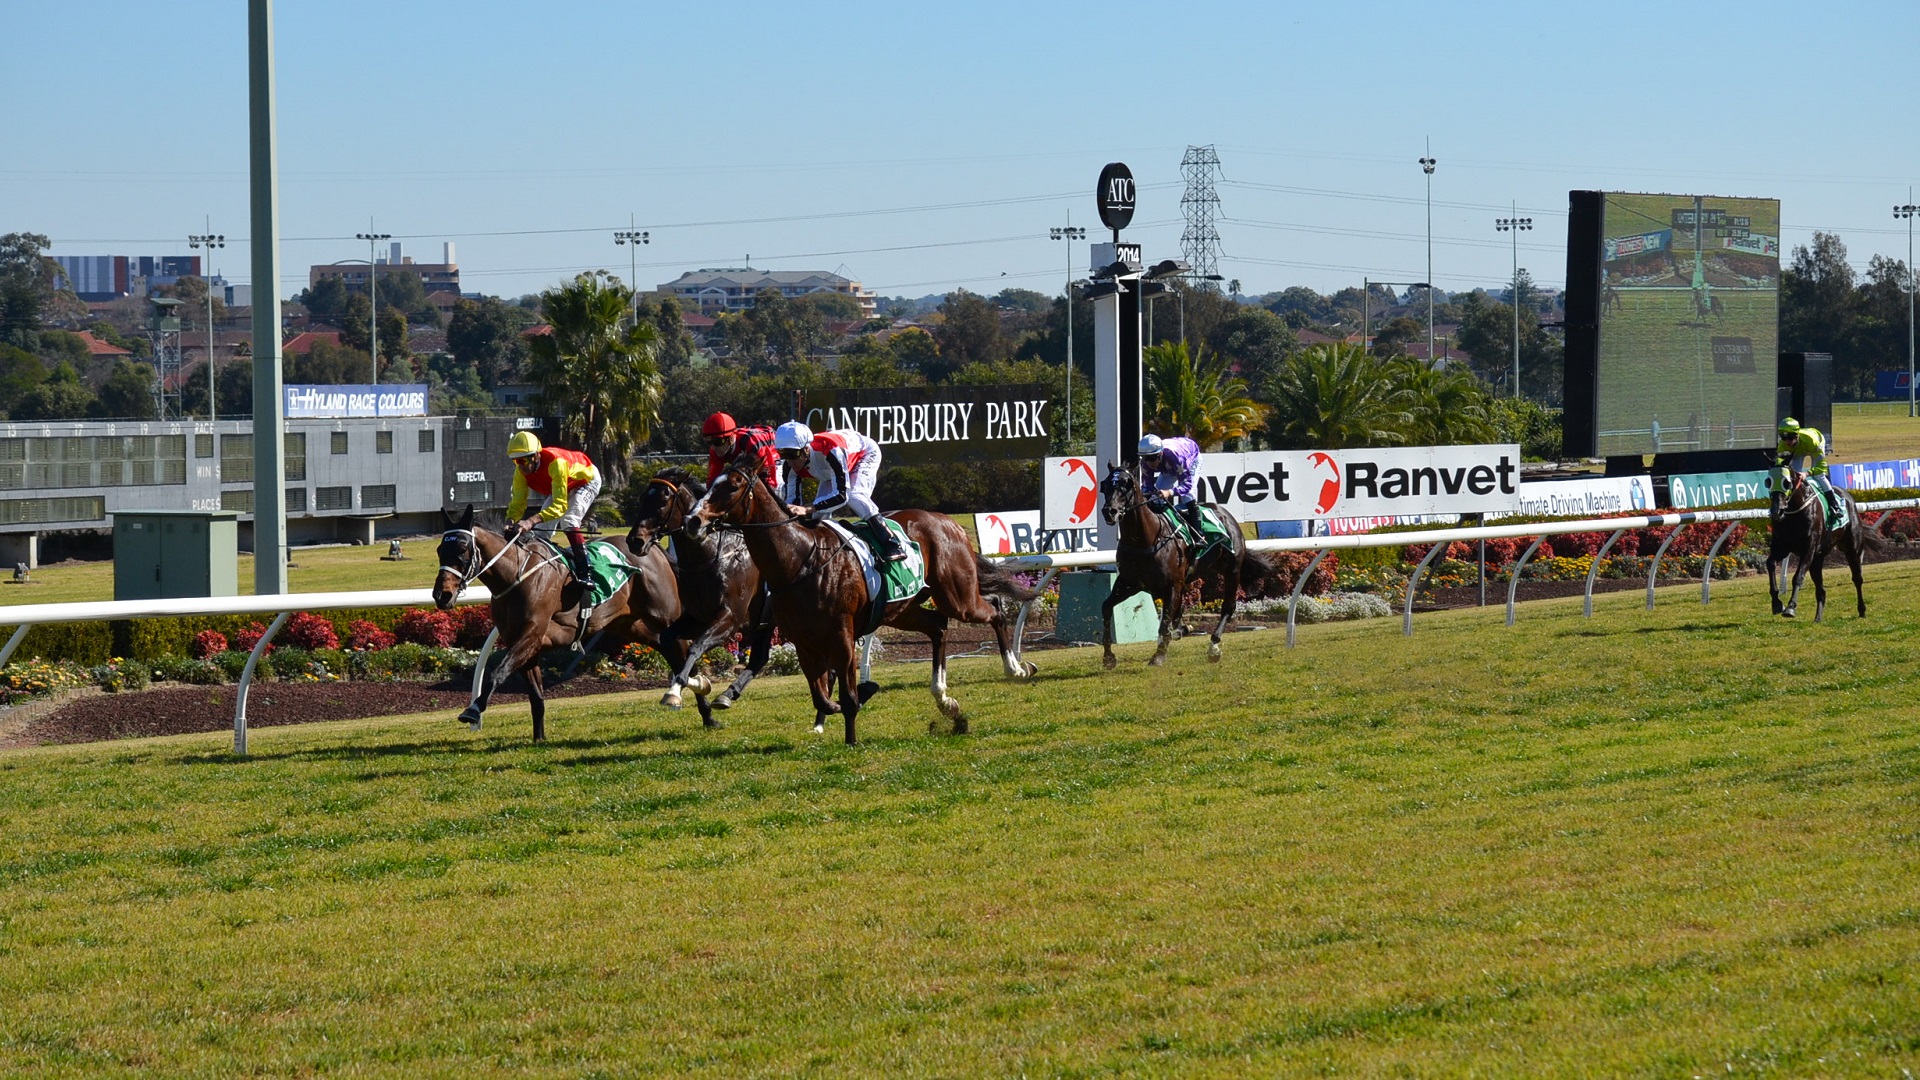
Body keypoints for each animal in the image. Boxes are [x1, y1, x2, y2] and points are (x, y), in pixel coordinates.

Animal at [435, 503, 683, 737]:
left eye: (462, 548)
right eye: (439, 549)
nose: (441, 595)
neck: (516, 573)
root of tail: (653, 548)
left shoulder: (530, 635)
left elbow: (498, 672)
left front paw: (473, 710)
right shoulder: (526, 644)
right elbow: (536, 697)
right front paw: (539, 739)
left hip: (664, 614)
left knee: (683, 644)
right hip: (630, 624)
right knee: (666, 646)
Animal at [629, 466, 779, 726]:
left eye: (662, 500)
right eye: (641, 498)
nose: (634, 541)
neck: (710, 557)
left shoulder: (730, 620)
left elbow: (696, 647)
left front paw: (675, 691)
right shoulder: (696, 618)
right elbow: (673, 645)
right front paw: (700, 696)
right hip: (765, 624)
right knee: (759, 658)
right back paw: (728, 694)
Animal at [679, 457, 1036, 745]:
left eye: (733, 485)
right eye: (710, 484)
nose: (692, 521)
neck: (799, 561)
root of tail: (949, 522)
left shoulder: (842, 634)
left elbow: (845, 695)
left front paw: (851, 736)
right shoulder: (803, 641)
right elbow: (824, 698)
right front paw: (844, 707)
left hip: (956, 596)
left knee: (994, 608)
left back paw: (1016, 668)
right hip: (901, 610)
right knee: (938, 626)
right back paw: (946, 701)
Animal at [1105, 461, 1251, 664]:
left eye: (1127, 484)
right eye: (1104, 485)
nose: (1109, 512)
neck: (1146, 539)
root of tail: (1225, 514)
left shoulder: (1172, 585)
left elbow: (1165, 622)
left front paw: (1159, 656)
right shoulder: (1129, 583)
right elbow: (1106, 608)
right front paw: (1108, 657)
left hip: (1232, 570)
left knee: (1228, 606)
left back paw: (1214, 646)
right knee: (1179, 612)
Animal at [1758, 466, 1881, 618]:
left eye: (1786, 482)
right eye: (1768, 482)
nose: (1776, 511)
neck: (1794, 513)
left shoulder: (1808, 550)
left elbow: (1798, 576)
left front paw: (1790, 607)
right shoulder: (1782, 548)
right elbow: (1770, 563)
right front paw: (1776, 603)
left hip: (1852, 549)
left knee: (1857, 579)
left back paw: (1862, 610)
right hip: (1818, 558)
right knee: (1821, 590)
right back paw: (1818, 617)